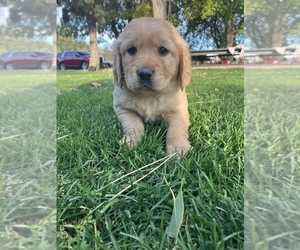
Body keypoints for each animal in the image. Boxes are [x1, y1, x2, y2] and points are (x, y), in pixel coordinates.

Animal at [112, 17, 192, 155]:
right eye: (131, 50)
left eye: (163, 50)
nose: (144, 74)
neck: (149, 96)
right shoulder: (122, 107)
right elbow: (133, 124)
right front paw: (130, 141)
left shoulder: (179, 109)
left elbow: (177, 128)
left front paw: (178, 148)